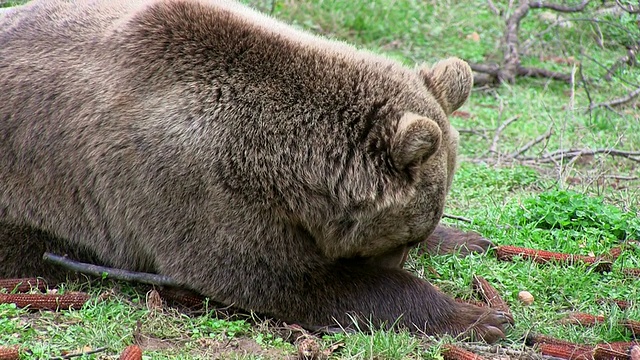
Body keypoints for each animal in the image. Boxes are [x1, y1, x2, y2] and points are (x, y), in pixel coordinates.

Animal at [0, 0, 510, 340]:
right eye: (399, 238)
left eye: (414, 235)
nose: (402, 256)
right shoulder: (194, 190)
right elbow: (281, 278)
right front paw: (481, 316)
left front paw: (467, 239)